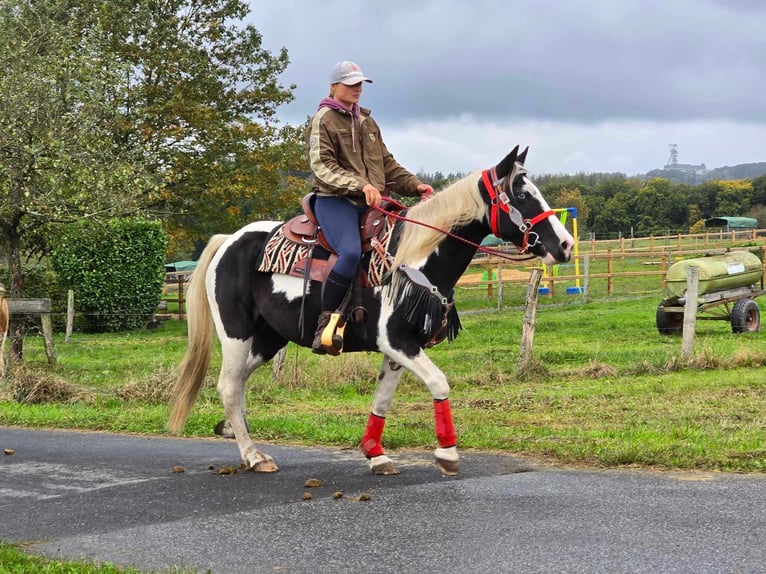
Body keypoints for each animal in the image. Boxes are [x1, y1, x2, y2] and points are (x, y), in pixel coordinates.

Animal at [170, 147, 576, 476]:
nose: (566, 245)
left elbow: (383, 398)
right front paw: (447, 453)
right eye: (522, 193)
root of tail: (229, 241)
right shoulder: (395, 340)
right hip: (237, 335)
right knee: (228, 386)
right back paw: (254, 456)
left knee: (236, 386)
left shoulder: (400, 348)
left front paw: (376, 454)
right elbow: (438, 382)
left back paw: (234, 435)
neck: (411, 257)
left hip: (267, 340)